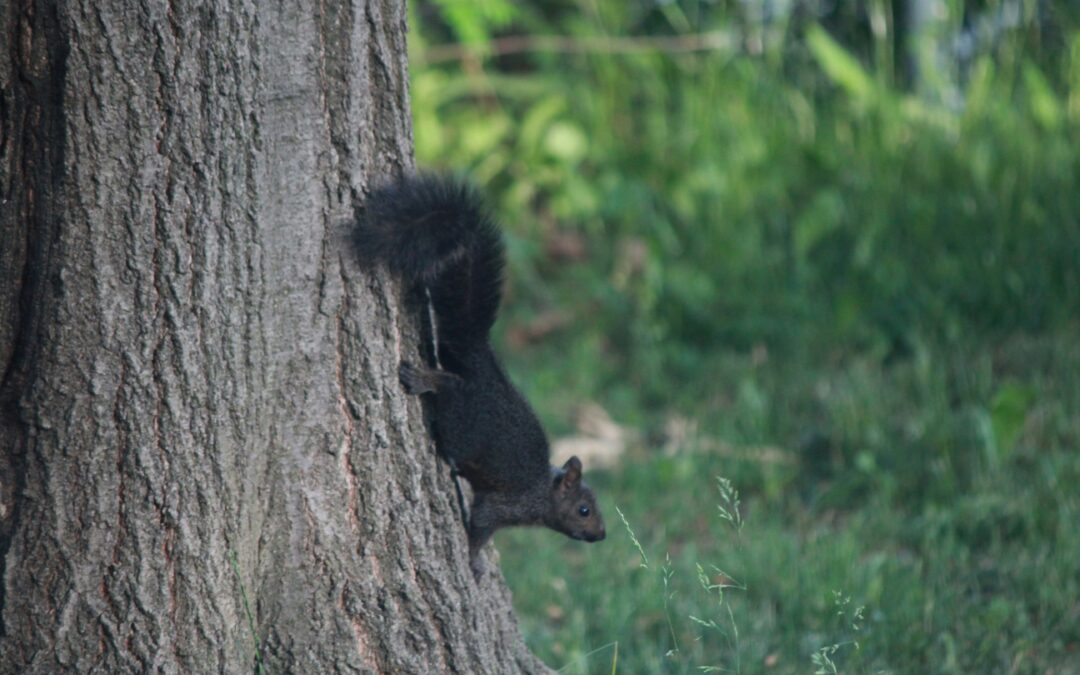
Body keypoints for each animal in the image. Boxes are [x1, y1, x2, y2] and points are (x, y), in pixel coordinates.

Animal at [354, 173, 606, 578]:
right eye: (584, 510)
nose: (601, 535)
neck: (542, 491)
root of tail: (480, 363)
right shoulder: (504, 504)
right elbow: (482, 526)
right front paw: (474, 561)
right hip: (464, 420)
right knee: (449, 388)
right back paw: (425, 381)